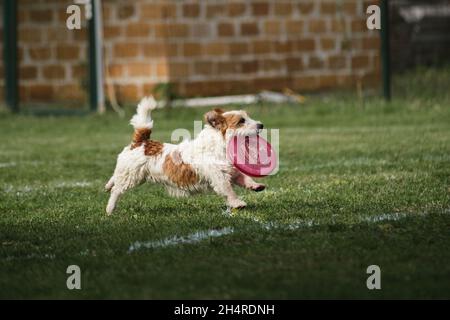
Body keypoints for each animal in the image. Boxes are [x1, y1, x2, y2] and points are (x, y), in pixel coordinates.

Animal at [104, 96, 268, 214]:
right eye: (241, 121)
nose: (261, 125)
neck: (218, 146)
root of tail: (142, 142)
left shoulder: (232, 171)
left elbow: (244, 178)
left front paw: (255, 185)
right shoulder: (219, 177)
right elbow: (228, 191)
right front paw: (238, 203)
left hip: (128, 172)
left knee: (114, 178)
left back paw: (107, 186)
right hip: (132, 176)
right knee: (116, 190)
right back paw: (110, 209)